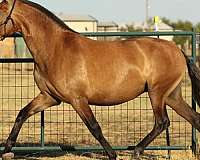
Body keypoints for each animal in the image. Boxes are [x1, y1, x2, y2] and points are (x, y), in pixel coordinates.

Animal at [0, 0, 200, 159]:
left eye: (0, 13)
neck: (56, 49)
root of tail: (177, 49)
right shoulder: (50, 97)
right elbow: (22, 114)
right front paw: (7, 149)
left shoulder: (78, 99)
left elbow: (94, 127)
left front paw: (112, 155)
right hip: (172, 96)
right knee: (194, 118)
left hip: (157, 93)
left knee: (162, 122)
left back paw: (136, 151)